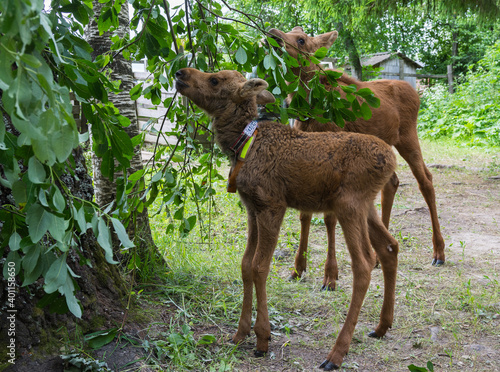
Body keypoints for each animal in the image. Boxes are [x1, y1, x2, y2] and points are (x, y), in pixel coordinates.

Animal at [176, 67, 398, 370]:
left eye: (215, 80)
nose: (180, 73)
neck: (243, 143)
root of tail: (392, 160)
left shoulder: (272, 204)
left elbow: (260, 267)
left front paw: (262, 337)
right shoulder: (251, 207)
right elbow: (245, 264)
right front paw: (239, 333)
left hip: (348, 204)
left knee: (364, 263)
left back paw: (336, 353)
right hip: (367, 206)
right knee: (389, 247)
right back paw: (382, 326)